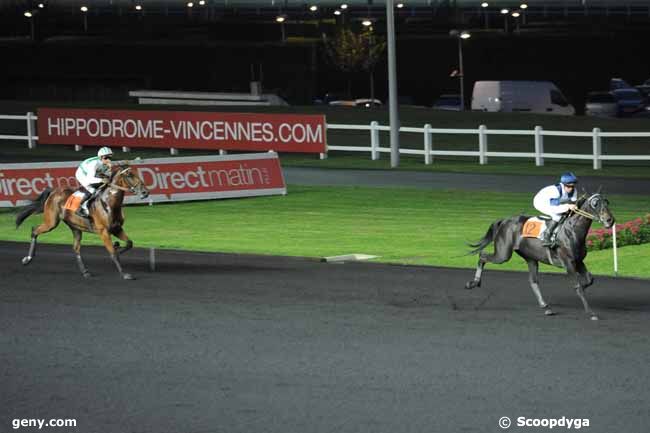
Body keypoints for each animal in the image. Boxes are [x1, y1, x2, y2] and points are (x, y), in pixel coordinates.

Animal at [14, 163, 148, 280]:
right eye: (129, 175)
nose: (145, 192)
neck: (109, 203)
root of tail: (53, 192)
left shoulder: (116, 228)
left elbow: (129, 243)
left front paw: (117, 246)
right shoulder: (103, 231)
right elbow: (113, 253)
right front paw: (125, 274)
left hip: (75, 227)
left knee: (76, 248)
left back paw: (85, 272)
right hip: (51, 222)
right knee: (34, 230)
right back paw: (27, 259)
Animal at [466, 194, 612, 318]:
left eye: (607, 202)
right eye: (595, 203)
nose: (610, 220)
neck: (572, 231)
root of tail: (504, 220)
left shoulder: (578, 261)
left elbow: (589, 279)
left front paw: (584, 287)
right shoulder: (568, 263)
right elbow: (578, 287)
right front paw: (591, 313)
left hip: (530, 258)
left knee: (533, 280)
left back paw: (545, 306)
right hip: (503, 254)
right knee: (483, 255)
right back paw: (473, 283)